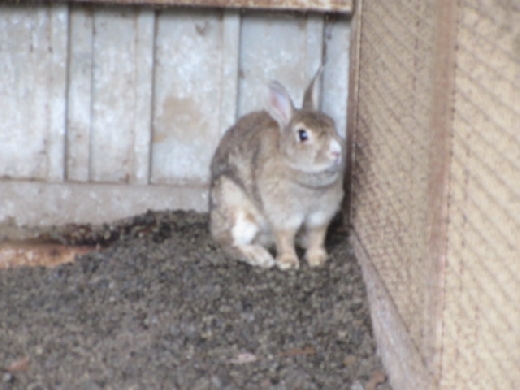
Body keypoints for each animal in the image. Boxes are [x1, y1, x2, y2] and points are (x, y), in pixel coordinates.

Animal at [207, 68, 346, 268]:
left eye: (333, 124)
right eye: (302, 134)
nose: (336, 151)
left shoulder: (320, 215)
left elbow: (317, 235)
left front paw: (317, 259)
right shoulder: (283, 214)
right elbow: (285, 237)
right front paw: (288, 263)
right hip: (237, 210)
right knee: (229, 242)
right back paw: (260, 257)